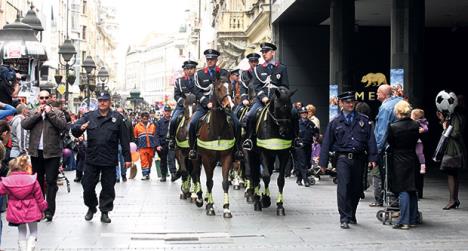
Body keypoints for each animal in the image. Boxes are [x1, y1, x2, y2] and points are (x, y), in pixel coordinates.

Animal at [197, 77, 236, 218]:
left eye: (231, 87)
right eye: (218, 89)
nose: (229, 106)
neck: (217, 129)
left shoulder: (226, 157)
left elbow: (224, 182)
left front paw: (226, 209)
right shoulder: (206, 159)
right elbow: (209, 182)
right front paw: (209, 207)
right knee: (196, 175)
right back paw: (200, 199)